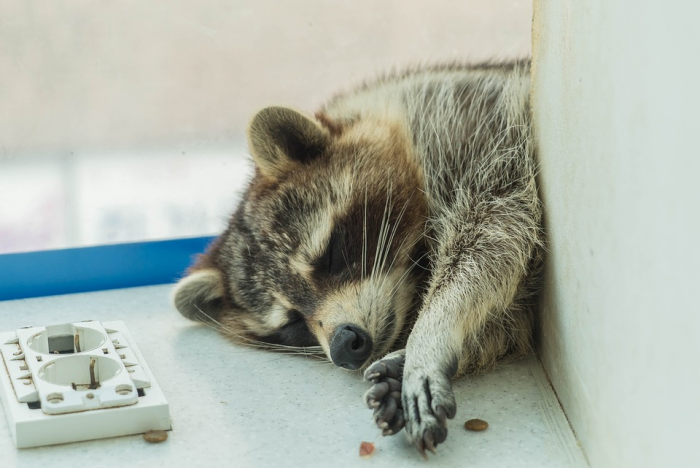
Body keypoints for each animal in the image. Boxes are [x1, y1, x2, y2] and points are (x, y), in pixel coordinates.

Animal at [172, 60, 544, 456]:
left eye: (332, 255)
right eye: (292, 324)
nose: (342, 347)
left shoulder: (479, 134)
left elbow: (494, 237)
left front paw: (431, 332)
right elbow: (504, 318)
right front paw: (414, 354)